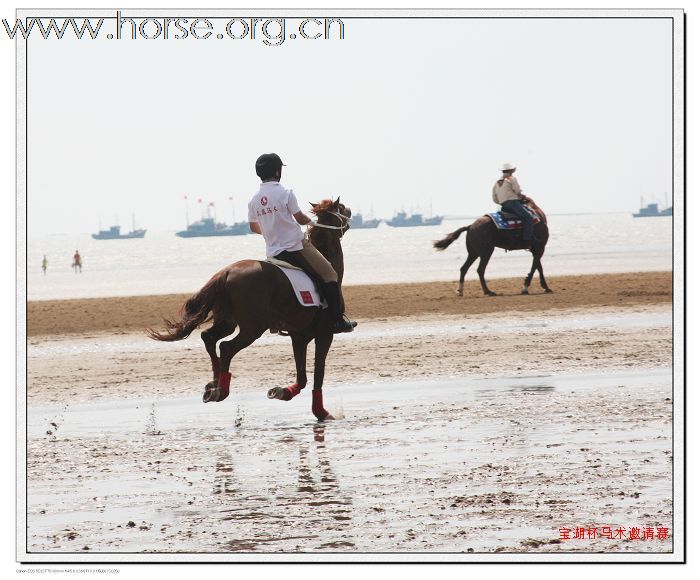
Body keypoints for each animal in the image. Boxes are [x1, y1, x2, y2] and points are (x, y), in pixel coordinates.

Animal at [150, 197, 352, 420]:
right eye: (341, 208)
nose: (350, 212)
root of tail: (226, 273)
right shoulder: (324, 334)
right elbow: (318, 375)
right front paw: (322, 412)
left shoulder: (299, 336)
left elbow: (302, 378)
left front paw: (283, 392)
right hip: (253, 328)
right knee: (226, 347)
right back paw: (221, 389)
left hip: (228, 321)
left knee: (209, 338)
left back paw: (215, 382)